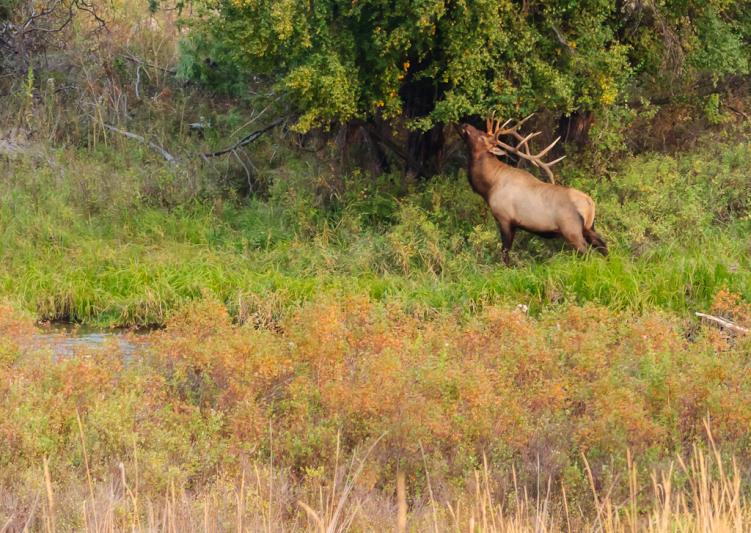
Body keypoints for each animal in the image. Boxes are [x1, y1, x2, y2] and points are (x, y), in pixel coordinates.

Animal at [458, 115, 612, 264]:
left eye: (482, 136)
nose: (465, 124)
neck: (489, 187)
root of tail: (590, 205)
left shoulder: (505, 218)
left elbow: (505, 252)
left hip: (571, 230)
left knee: (588, 253)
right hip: (589, 227)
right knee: (603, 246)